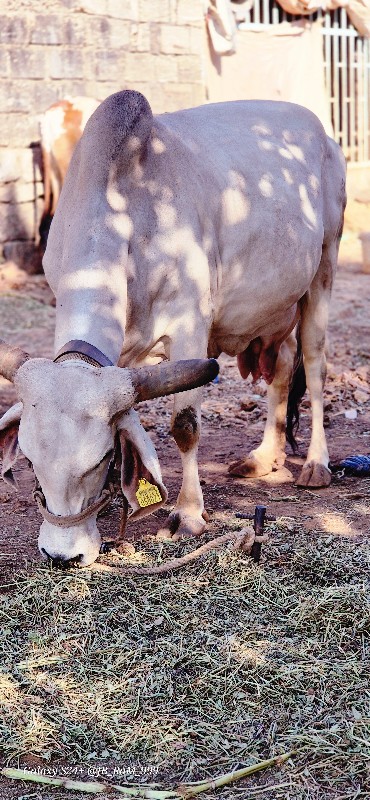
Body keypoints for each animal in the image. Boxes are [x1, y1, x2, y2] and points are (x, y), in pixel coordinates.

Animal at [0, 90, 346, 564]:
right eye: (30, 461)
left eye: (101, 459)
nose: (61, 555)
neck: (129, 214)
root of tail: (322, 133)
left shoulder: (189, 330)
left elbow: (184, 427)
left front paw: (187, 514)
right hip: (275, 306)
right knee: (281, 369)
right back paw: (263, 458)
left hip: (323, 269)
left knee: (313, 364)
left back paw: (316, 464)